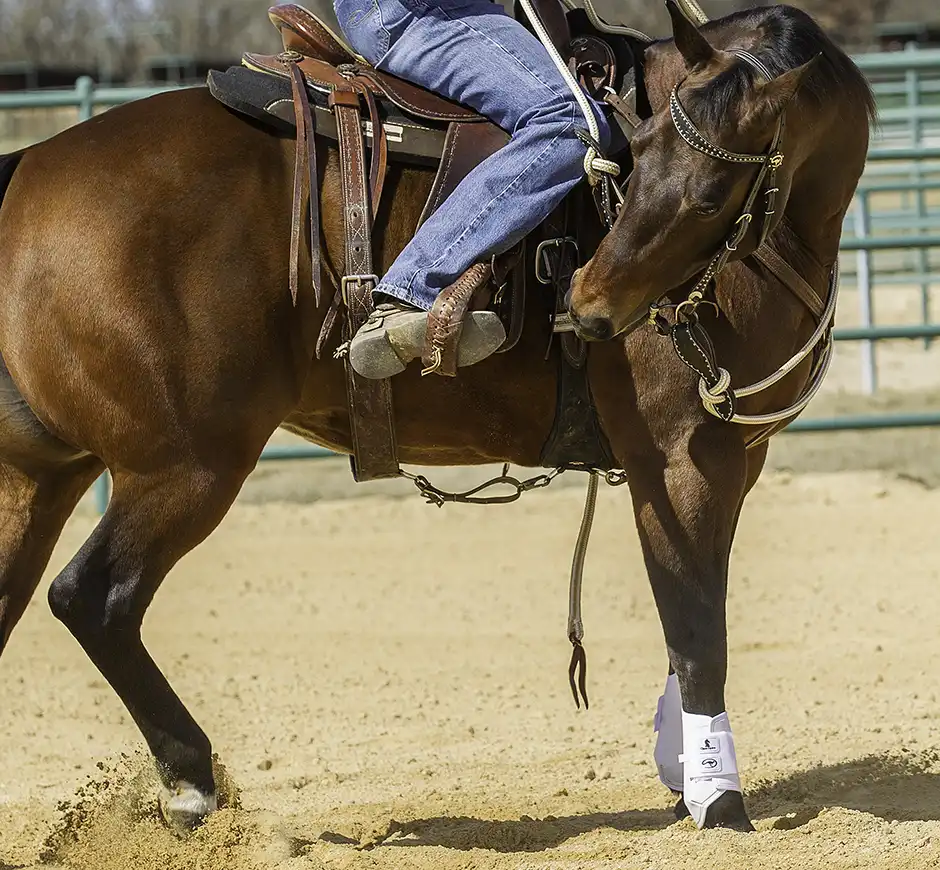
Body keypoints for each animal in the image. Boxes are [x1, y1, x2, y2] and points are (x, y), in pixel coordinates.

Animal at [0, 1, 871, 837]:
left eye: (708, 192)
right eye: (639, 152)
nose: (588, 302)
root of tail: (27, 170)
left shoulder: (734, 459)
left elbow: (691, 615)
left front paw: (684, 773)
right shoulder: (682, 456)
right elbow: (696, 634)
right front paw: (720, 802)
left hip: (40, 477)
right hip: (186, 467)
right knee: (94, 598)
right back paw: (190, 783)